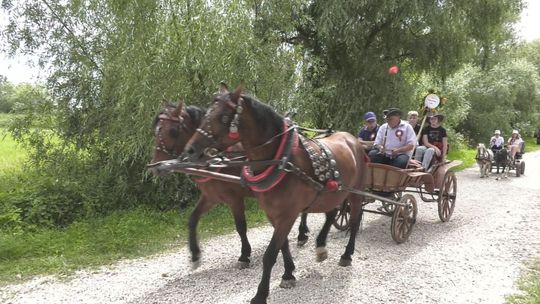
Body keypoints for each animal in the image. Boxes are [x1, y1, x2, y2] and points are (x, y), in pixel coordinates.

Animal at [150, 103, 310, 270]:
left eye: (173, 131)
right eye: (155, 131)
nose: (156, 166)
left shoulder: (235, 199)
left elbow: (241, 226)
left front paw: (244, 255)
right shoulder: (211, 197)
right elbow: (193, 219)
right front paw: (195, 254)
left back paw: (301, 234)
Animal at [186, 85, 368, 304]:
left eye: (223, 117)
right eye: (206, 114)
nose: (191, 149)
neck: (282, 161)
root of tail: (353, 139)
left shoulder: (287, 215)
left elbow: (271, 254)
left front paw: (260, 294)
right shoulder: (273, 214)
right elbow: (283, 245)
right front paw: (288, 274)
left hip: (355, 194)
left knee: (355, 221)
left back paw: (346, 255)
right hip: (331, 194)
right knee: (332, 214)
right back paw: (321, 246)